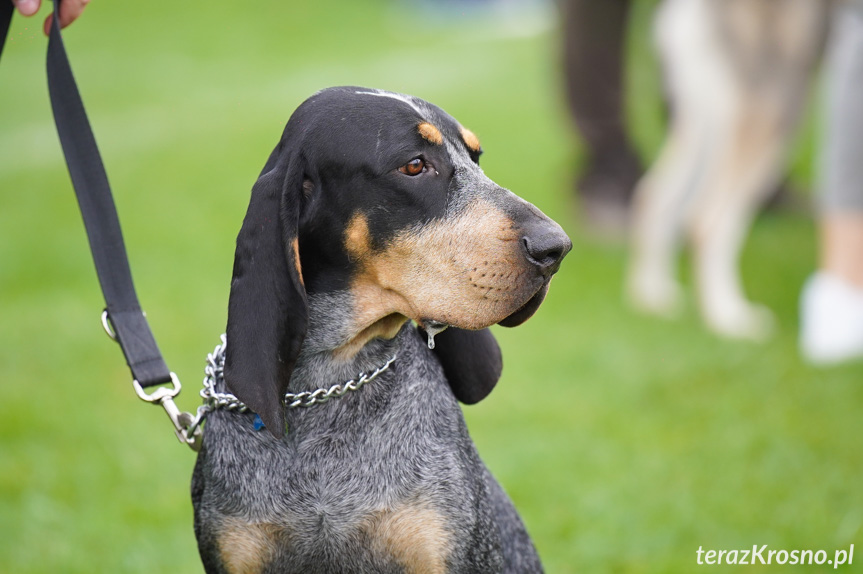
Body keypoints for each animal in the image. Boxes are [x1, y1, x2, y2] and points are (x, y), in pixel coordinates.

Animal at [624, 0, 832, 342]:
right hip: (777, 98)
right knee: (707, 219)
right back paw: (726, 317)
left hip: (706, 113)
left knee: (655, 194)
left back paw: (654, 296)